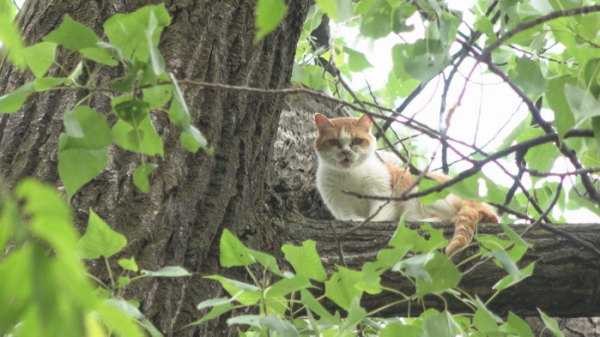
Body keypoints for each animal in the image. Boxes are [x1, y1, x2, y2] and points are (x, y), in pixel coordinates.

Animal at [312, 113, 500, 255]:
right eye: (334, 142)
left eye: (356, 141)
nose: (345, 152)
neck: (350, 175)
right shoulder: (339, 205)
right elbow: (349, 216)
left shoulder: (383, 197)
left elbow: (377, 217)